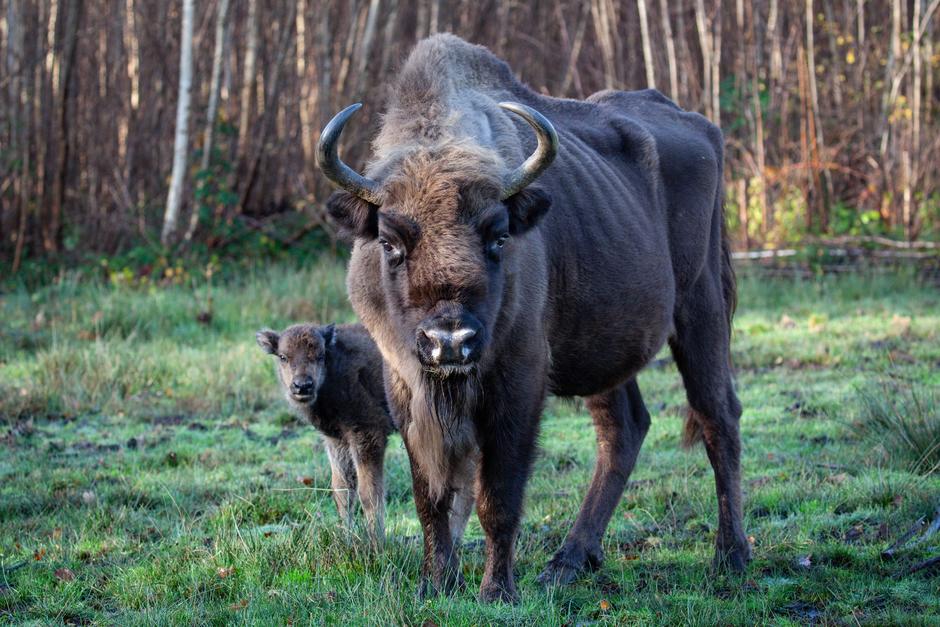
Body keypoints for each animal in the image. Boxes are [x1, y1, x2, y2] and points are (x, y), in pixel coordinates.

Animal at [253, 324, 392, 540]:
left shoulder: (368, 435)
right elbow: (342, 491)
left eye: (320, 355)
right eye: (283, 356)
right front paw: (346, 540)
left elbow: (369, 494)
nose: (302, 386)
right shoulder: (337, 441)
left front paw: (377, 543)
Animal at [316, 35, 748, 604]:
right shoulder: (405, 384)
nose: (449, 342)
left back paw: (731, 557)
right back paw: (568, 561)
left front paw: (496, 591)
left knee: (718, 416)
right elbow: (430, 494)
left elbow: (497, 496)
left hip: (701, 308)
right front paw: (435, 584)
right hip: (606, 349)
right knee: (624, 429)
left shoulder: (518, 380)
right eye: (389, 243)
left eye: (499, 236)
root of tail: (702, 128)